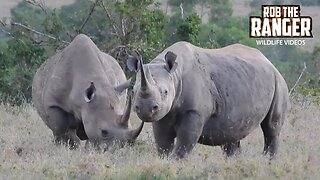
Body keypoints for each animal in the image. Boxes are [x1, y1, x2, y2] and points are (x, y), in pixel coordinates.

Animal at [127, 41, 290, 158]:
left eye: (165, 92)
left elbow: (184, 143)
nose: (145, 108)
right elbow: (162, 143)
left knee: (271, 128)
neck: (175, 75)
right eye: (133, 91)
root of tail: (269, 62)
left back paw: (268, 161)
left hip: (279, 82)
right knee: (231, 134)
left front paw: (176, 163)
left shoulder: (194, 111)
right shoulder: (163, 113)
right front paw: (165, 161)